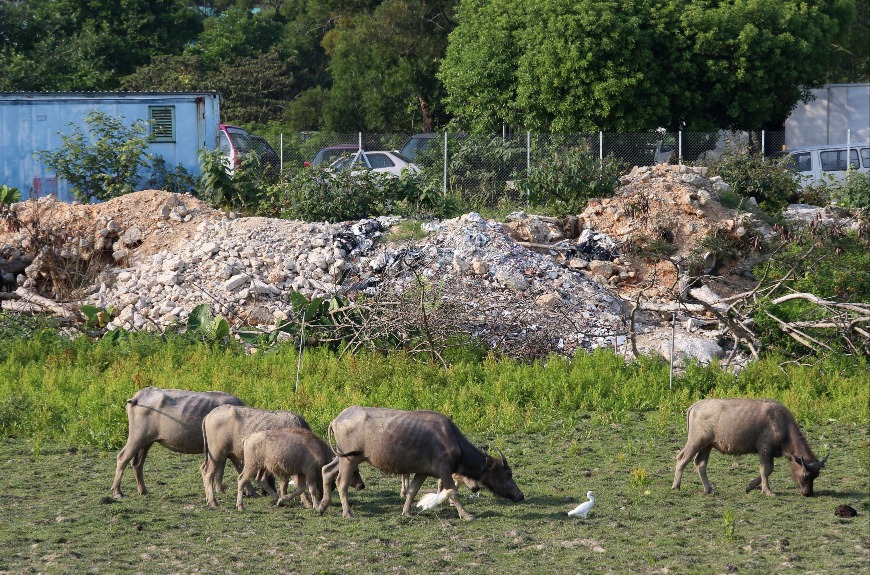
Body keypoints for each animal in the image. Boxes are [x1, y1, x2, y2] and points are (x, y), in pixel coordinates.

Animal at [110, 388, 245, 500]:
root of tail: (137, 398)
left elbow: (222, 469)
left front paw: (220, 489)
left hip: (146, 442)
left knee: (137, 464)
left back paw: (142, 490)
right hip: (137, 438)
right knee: (122, 458)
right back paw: (117, 492)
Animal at [318, 404, 524, 520]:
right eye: (508, 474)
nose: (520, 495)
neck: (452, 441)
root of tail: (336, 419)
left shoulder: (422, 472)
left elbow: (412, 491)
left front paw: (407, 511)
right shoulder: (444, 471)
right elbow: (453, 493)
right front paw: (467, 515)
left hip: (343, 457)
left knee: (327, 470)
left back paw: (321, 506)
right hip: (350, 459)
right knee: (341, 483)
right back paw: (347, 513)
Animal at [676, 398, 832, 498]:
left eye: (816, 475)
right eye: (806, 475)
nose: (808, 493)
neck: (782, 424)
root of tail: (695, 405)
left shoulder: (769, 453)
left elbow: (768, 471)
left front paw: (749, 486)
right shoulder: (765, 450)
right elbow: (765, 470)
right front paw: (768, 491)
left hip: (707, 446)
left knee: (700, 464)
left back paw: (708, 489)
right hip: (696, 442)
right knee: (682, 458)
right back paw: (676, 486)